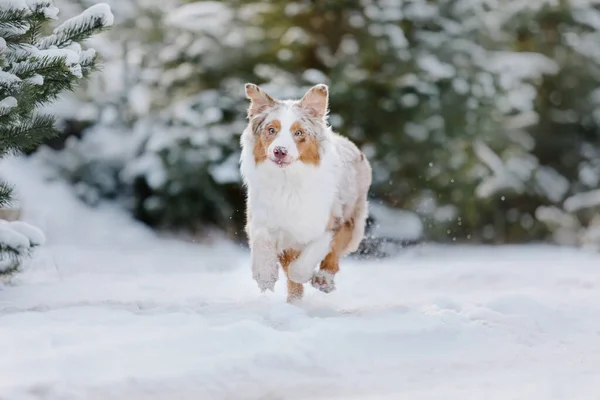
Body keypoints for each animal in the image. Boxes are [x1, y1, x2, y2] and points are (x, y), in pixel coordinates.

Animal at [238, 83, 370, 304]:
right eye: (271, 130)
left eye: (298, 133)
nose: (280, 151)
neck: (288, 180)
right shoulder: (262, 216)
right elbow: (261, 238)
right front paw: (265, 275)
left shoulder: (331, 221)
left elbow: (305, 262)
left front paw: (306, 275)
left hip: (353, 219)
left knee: (333, 257)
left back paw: (323, 280)